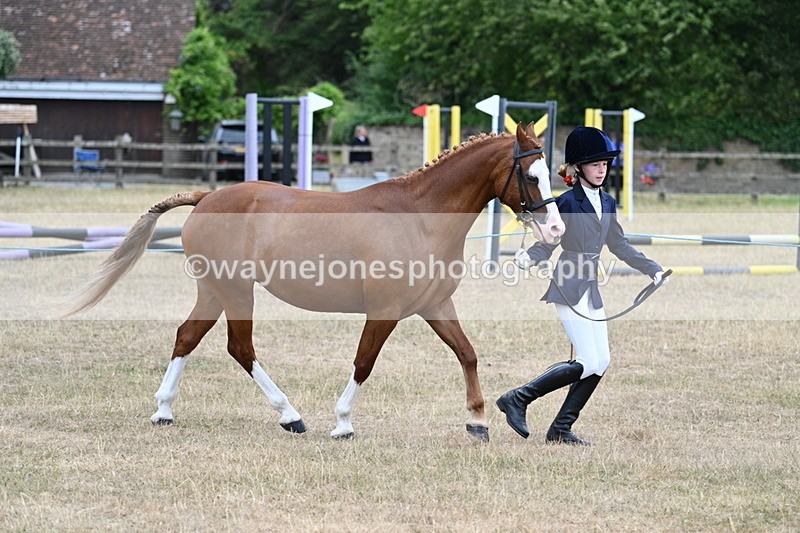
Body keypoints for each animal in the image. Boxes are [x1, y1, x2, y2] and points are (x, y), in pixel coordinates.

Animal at [62, 123, 565, 442]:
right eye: (532, 175)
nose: (557, 229)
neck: (420, 217)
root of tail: (207, 196)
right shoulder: (384, 311)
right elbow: (364, 362)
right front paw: (342, 423)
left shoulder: (435, 307)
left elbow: (467, 353)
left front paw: (478, 422)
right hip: (235, 291)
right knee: (240, 348)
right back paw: (290, 417)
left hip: (214, 291)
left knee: (187, 336)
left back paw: (164, 411)